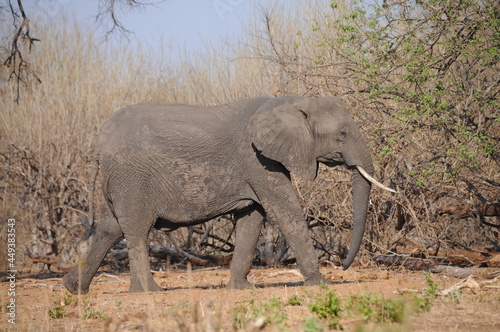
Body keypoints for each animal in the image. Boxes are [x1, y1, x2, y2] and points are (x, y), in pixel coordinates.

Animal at [62, 94, 394, 294]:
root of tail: (99, 143)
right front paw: (321, 284)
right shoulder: (258, 160)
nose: (343, 266)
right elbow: (286, 211)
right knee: (137, 230)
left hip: (121, 180)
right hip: (132, 177)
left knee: (111, 227)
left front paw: (241, 289)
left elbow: (252, 218)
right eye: (342, 134)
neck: (292, 101)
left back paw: (72, 288)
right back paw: (148, 292)